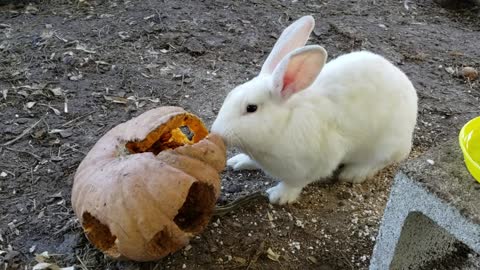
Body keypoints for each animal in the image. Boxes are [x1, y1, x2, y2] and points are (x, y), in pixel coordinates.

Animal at [210, 14, 416, 205]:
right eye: (230, 95)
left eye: (251, 108)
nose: (217, 132)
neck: (283, 124)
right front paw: (239, 161)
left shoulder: (313, 165)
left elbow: (294, 183)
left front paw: (279, 196)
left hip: (384, 145)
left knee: (380, 161)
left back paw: (353, 173)